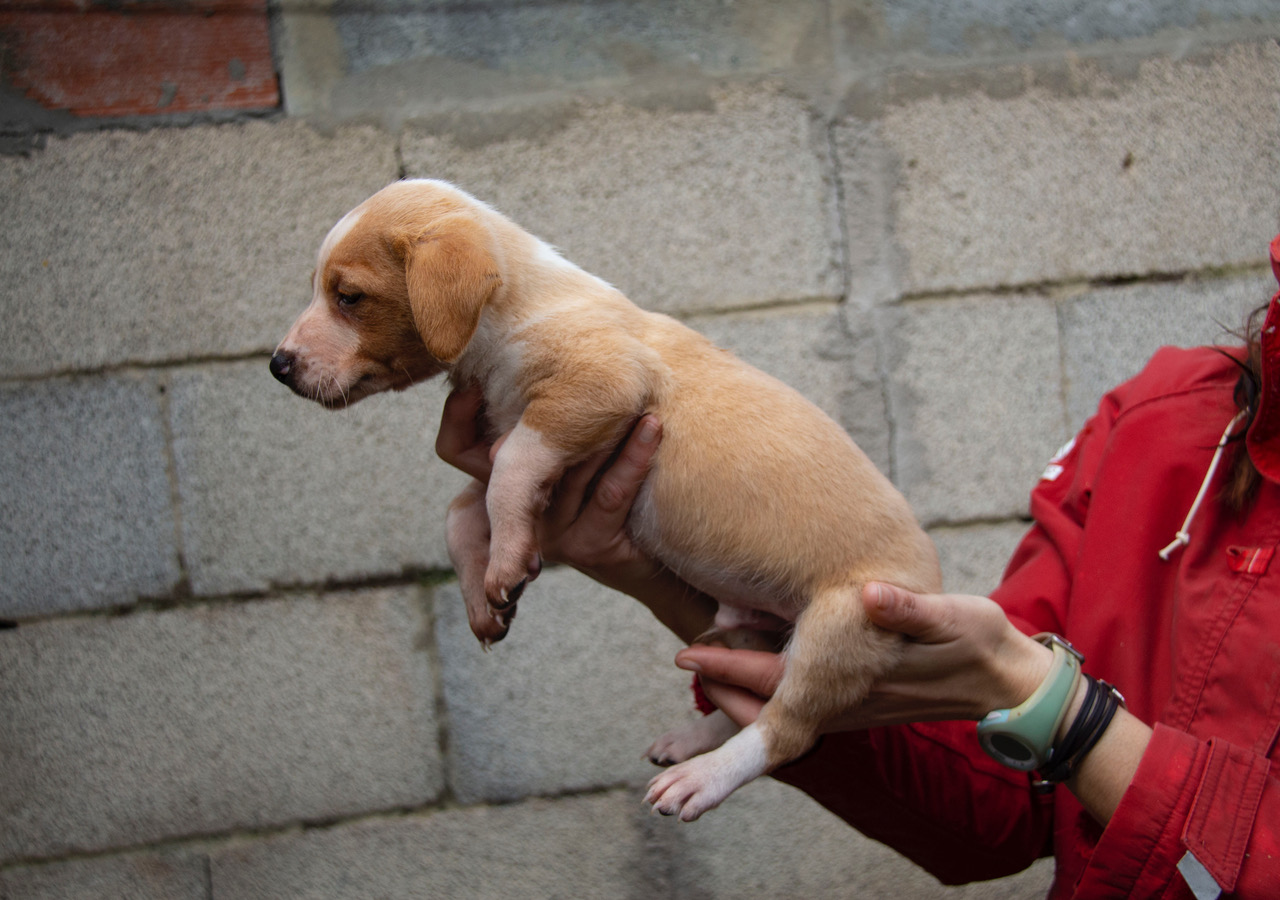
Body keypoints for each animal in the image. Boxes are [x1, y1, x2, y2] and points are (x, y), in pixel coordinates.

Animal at [270, 178, 942, 821]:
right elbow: (461, 513)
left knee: (787, 731)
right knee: (750, 703)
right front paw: (483, 602)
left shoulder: (593, 392)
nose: (276, 365)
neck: (516, 309)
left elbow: (508, 475)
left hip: (843, 625)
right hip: (753, 633)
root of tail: (932, 585)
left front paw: (505, 565)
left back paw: (699, 778)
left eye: (349, 296)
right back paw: (689, 741)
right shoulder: (517, 438)